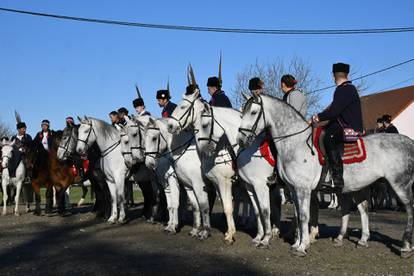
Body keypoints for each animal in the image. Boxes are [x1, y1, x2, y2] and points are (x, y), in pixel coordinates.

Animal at [238, 94, 414, 256]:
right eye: (242, 113)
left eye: (253, 112)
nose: (241, 139)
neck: (296, 143)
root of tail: (409, 142)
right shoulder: (292, 189)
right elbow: (299, 215)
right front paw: (297, 243)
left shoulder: (301, 189)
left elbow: (303, 216)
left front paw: (301, 246)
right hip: (358, 186)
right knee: (362, 209)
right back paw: (360, 240)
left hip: (400, 184)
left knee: (409, 209)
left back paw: (406, 246)